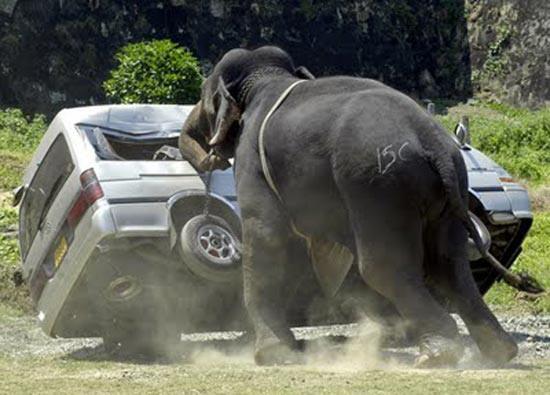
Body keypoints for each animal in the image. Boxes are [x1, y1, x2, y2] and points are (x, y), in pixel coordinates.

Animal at [179, 45, 520, 368]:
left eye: (203, 95)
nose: (210, 157)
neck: (269, 78)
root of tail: (434, 144)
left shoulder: (252, 160)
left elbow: (267, 236)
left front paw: (273, 356)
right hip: (448, 191)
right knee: (449, 264)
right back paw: (499, 352)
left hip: (377, 186)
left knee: (384, 266)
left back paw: (437, 355)